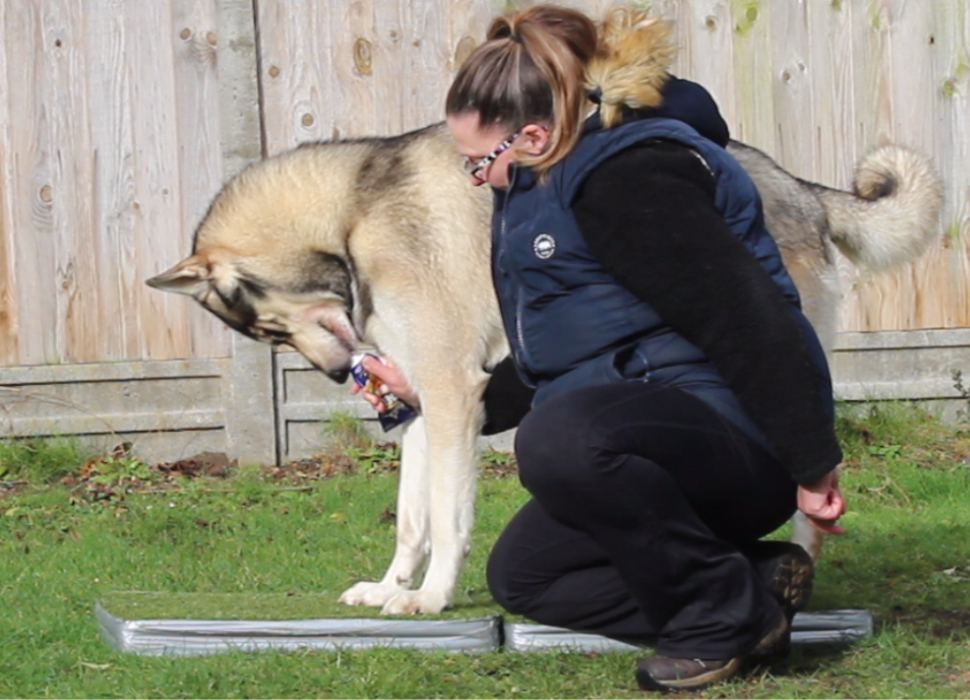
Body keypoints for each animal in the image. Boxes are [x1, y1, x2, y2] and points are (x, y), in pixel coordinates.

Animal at [147, 121, 940, 612]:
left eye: (270, 331)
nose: (344, 377)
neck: (353, 212)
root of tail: (801, 188)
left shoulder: (449, 395)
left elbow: (448, 519)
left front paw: (431, 597)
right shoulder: (424, 407)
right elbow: (412, 521)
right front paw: (391, 586)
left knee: (808, 476)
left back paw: (798, 572)